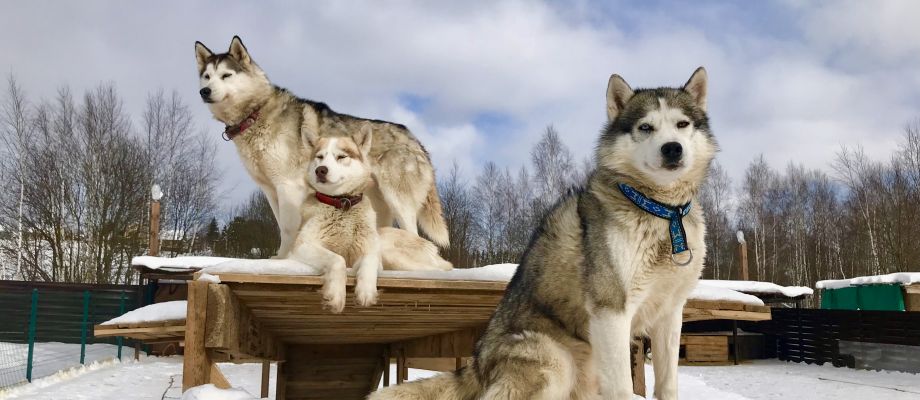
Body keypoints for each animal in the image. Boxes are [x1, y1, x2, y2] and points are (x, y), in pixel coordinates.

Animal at [195, 36, 450, 258]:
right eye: (206, 76)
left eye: (226, 75)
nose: (204, 91)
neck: (255, 113)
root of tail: (416, 140)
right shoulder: (270, 190)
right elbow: (281, 227)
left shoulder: (288, 186)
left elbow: (288, 230)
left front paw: (284, 260)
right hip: (379, 206)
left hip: (399, 202)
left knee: (414, 233)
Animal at [292, 126, 452, 314]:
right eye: (320, 157)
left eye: (341, 157)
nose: (321, 170)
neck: (342, 204)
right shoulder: (300, 247)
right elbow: (338, 259)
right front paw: (336, 296)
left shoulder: (372, 253)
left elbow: (369, 261)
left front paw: (366, 292)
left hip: (392, 252)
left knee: (438, 269)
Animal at [370, 67, 716, 398]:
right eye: (646, 127)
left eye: (682, 124)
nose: (672, 149)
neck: (661, 212)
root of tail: (477, 364)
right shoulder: (612, 310)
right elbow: (621, 387)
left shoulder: (670, 313)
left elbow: (668, 384)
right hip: (554, 361)